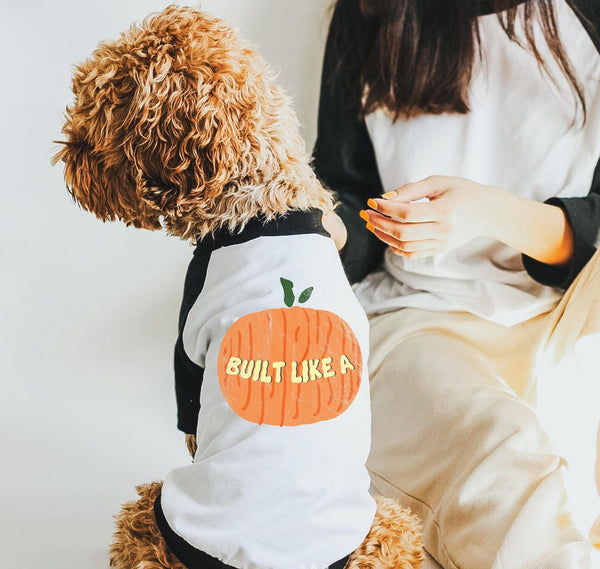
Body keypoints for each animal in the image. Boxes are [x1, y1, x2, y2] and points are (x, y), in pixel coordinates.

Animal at [54, 5, 424, 568]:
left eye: (99, 110)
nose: (67, 156)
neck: (260, 197)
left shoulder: (188, 339)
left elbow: (188, 411)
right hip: (385, 524)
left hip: (153, 516)